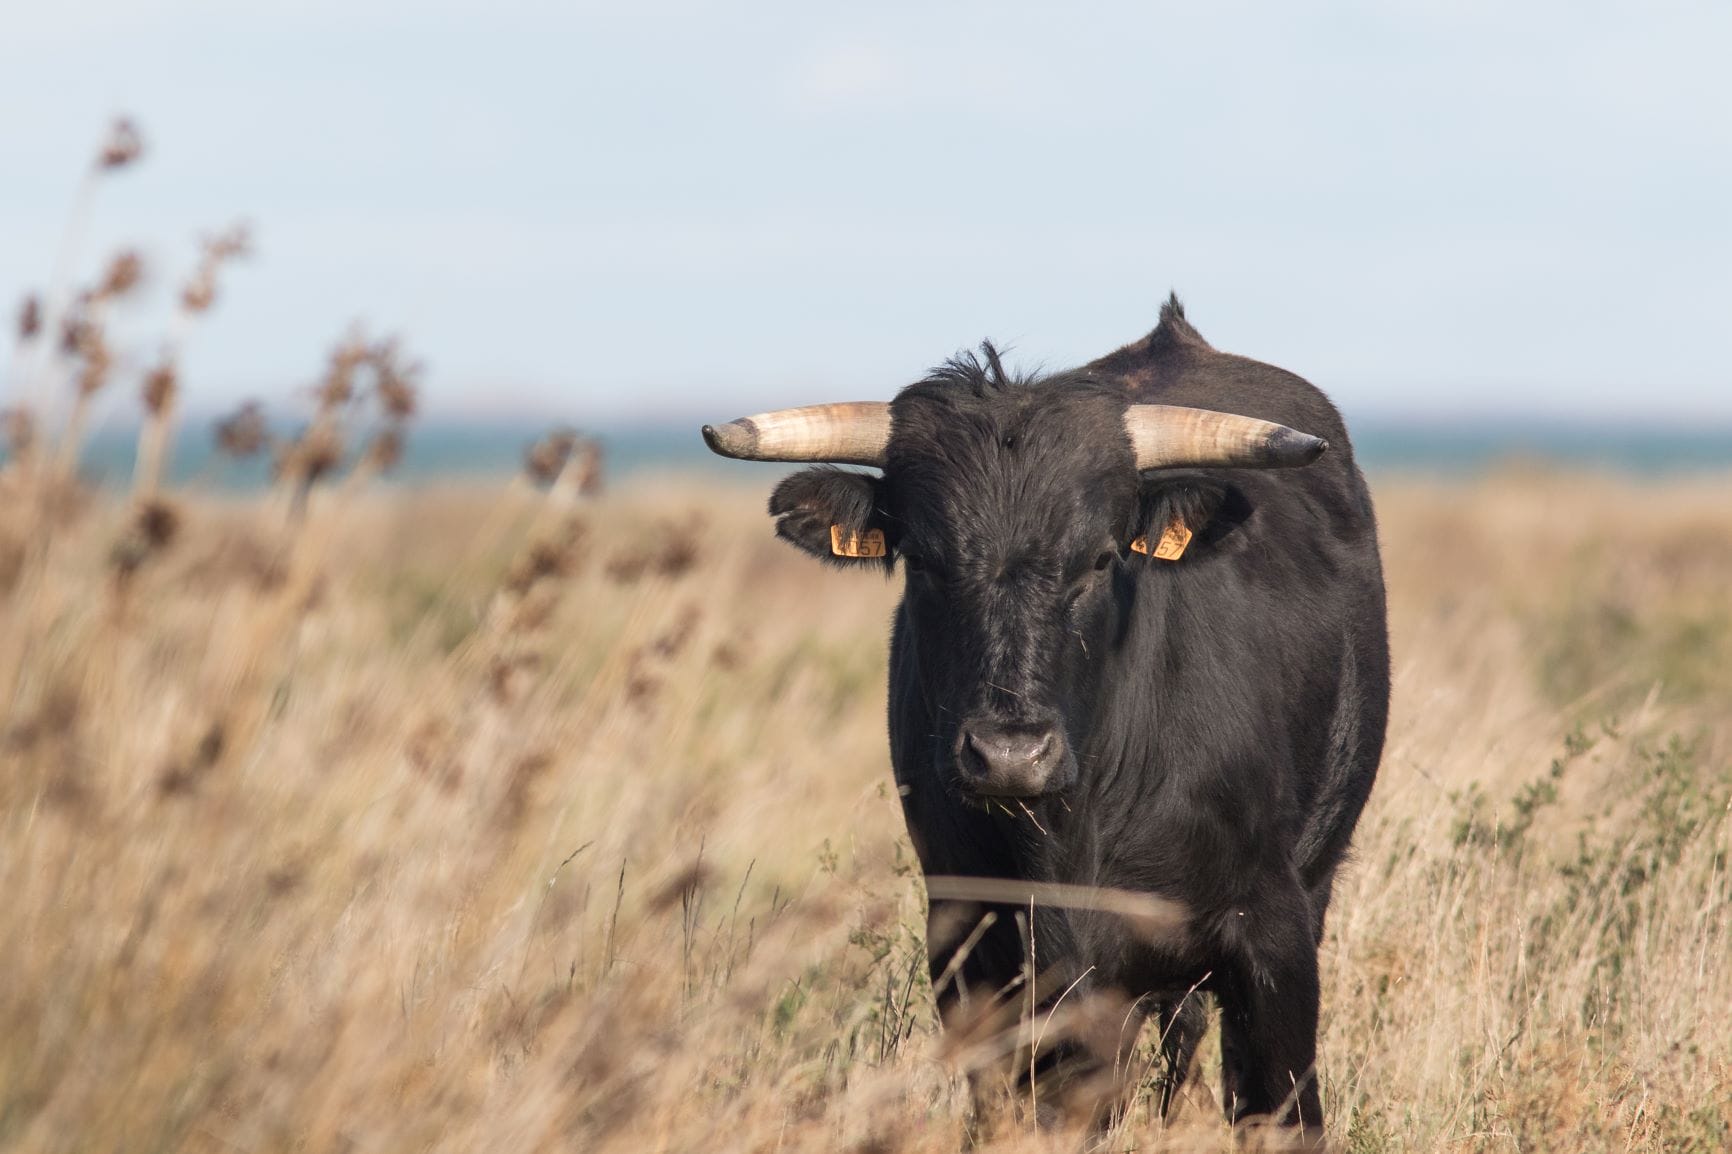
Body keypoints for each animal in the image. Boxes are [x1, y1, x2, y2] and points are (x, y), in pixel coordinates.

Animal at [696, 296, 1385, 1129]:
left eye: (1100, 558)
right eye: (922, 560)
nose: (1010, 754)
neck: (1065, 838)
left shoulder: (1274, 944)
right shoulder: (977, 955)